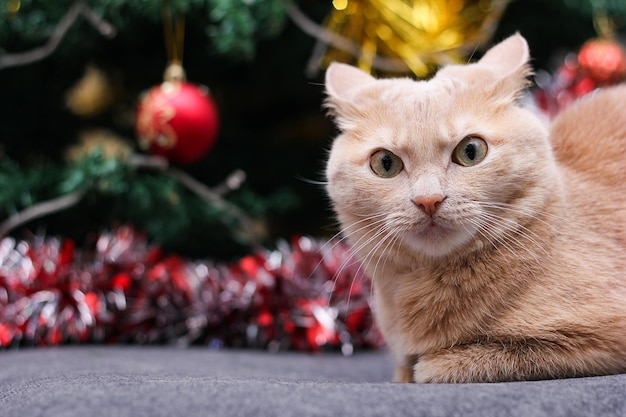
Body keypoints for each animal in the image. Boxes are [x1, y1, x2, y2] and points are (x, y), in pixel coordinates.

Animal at [322, 34, 624, 382]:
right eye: (385, 163)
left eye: (470, 151)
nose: (428, 199)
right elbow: (404, 368)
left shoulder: (601, 339)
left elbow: (459, 362)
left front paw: (430, 364)